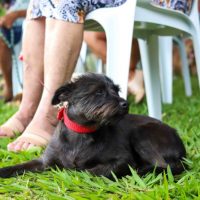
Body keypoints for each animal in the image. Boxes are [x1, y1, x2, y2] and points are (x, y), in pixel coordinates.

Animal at [0, 73, 186, 178]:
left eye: (116, 90)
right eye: (99, 92)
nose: (125, 103)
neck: (81, 132)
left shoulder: (122, 159)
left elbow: (89, 170)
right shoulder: (44, 161)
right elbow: (22, 166)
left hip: (141, 135)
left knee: (165, 166)